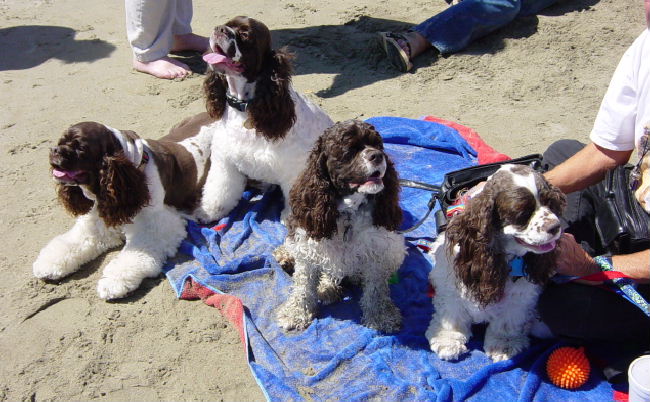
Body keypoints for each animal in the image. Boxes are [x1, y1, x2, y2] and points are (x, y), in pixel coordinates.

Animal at [33, 113, 213, 298]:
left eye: (81, 148)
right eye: (60, 141)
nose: (54, 150)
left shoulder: (156, 226)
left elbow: (135, 254)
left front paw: (114, 282)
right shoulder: (97, 222)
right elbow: (72, 242)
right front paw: (49, 263)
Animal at [192, 16, 334, 223]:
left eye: (245, 33)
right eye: (227, 23)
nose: (219, 29)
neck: (245, 108)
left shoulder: (294, 169)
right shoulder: (225, 162)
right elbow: (219, 192)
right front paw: (208, 212)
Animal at [426, 163, 560, 362]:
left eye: (551, 203)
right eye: (522, 213)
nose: (555, 226)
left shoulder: (521, 295)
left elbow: (508, 320)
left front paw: (504, 344)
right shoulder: (450, 284)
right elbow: (451, 312)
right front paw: (448, 339)